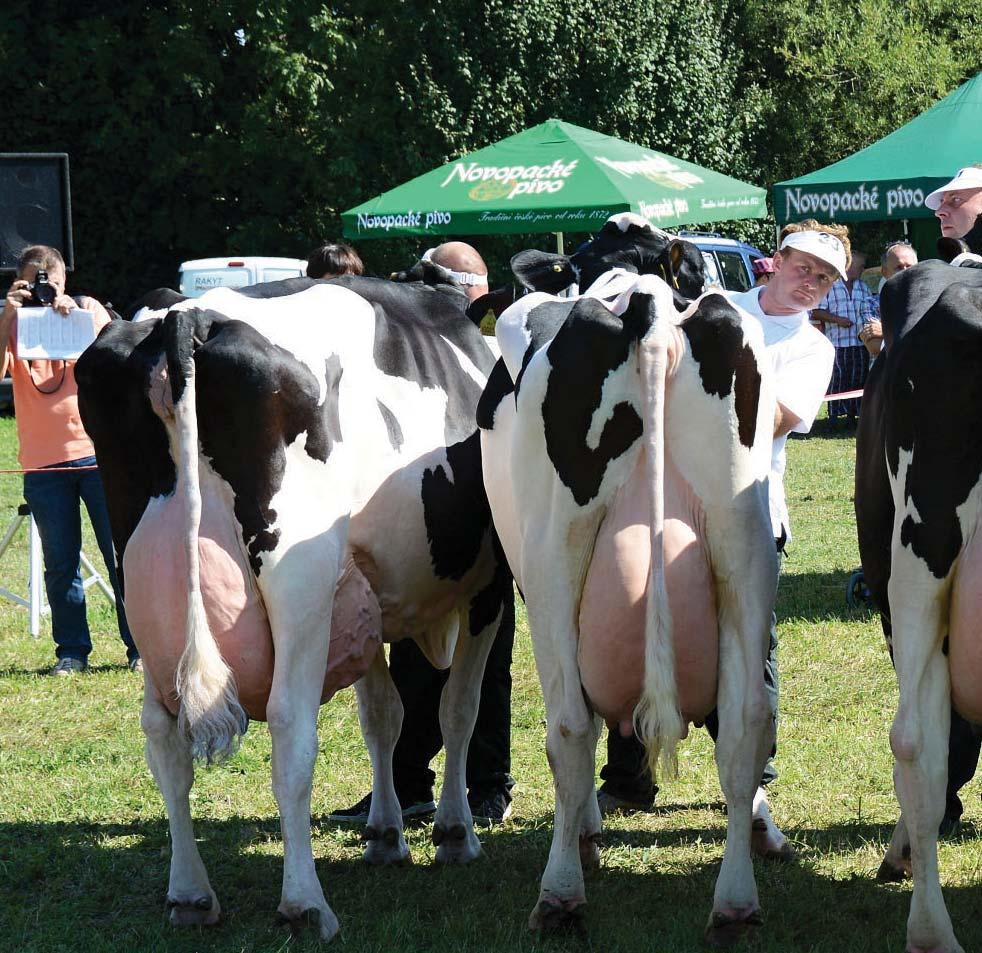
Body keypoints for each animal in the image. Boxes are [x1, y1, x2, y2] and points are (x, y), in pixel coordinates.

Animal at [77, 272, 516, 940]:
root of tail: (186, 317)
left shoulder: (363, 593)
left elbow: (383, 716)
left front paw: (385, 835)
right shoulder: (489, 587)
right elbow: (456, 711)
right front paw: (454, 834)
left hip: (140, 582)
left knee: (163, 734)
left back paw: (190, 894)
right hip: (298, 580)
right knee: (290, 729)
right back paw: (305, 903)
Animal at [480, 242, 780, 940]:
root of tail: (648, 300)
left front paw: (586, 835)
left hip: (553, 557)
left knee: (568, 726)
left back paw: (560, 893)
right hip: (743, 543)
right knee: (747, 720)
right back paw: (736, 902)